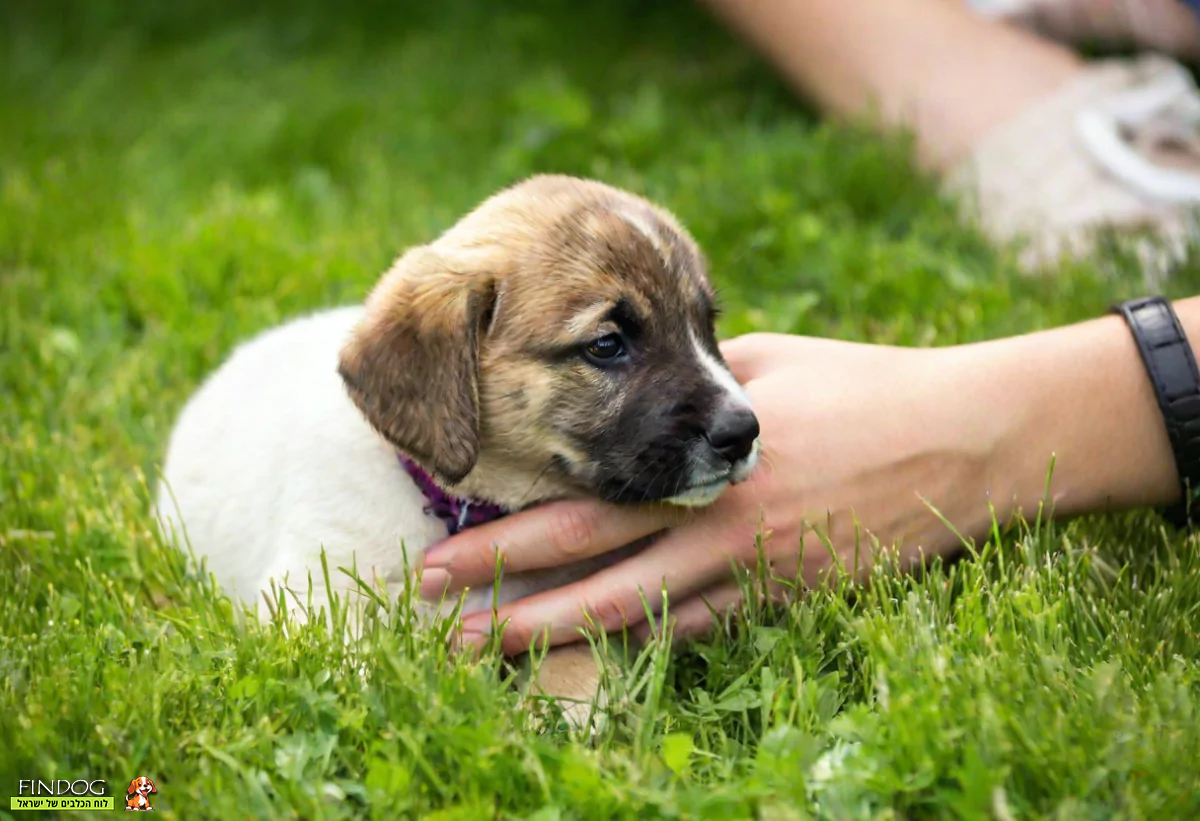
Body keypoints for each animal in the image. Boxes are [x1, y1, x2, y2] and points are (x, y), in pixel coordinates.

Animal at [154, 172, 758, 729]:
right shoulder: (310, 594)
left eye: (706, 328)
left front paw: (565, 706)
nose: (743, 432)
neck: (462, 507)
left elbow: (578, 648)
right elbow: (354, 669)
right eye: (607, 345)